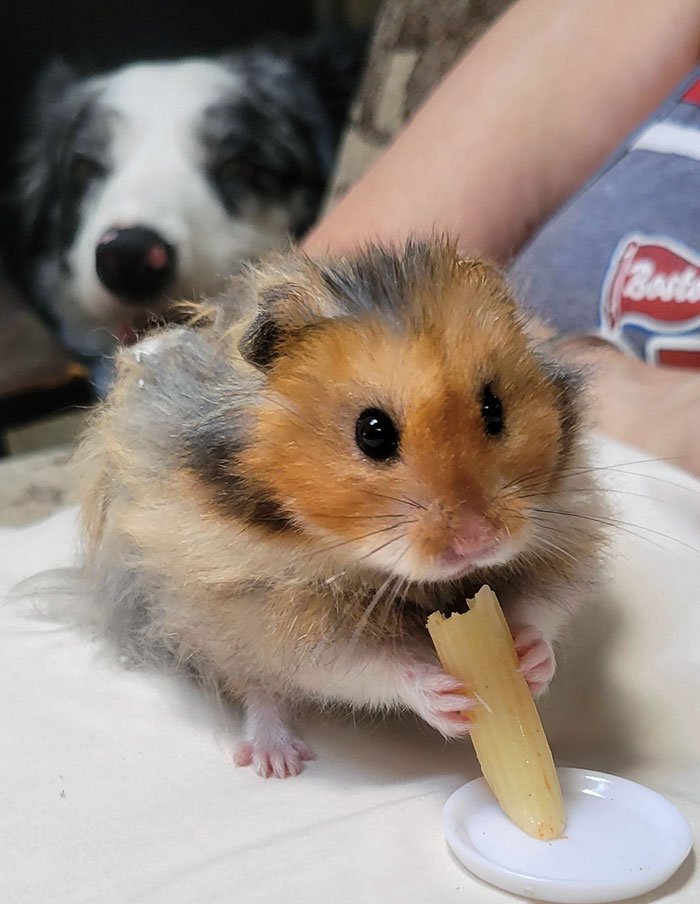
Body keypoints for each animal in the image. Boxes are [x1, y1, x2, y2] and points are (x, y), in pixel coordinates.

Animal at [77, 238, 605, 778]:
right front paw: (447, 697)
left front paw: (531, 661)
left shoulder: (561, 537)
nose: (479, 542)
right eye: (372, 432)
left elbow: (540, 608)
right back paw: (277, 761)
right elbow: (370, 664)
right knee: (258, 688)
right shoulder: (273, 612)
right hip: (214, 629)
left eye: (494, 408)